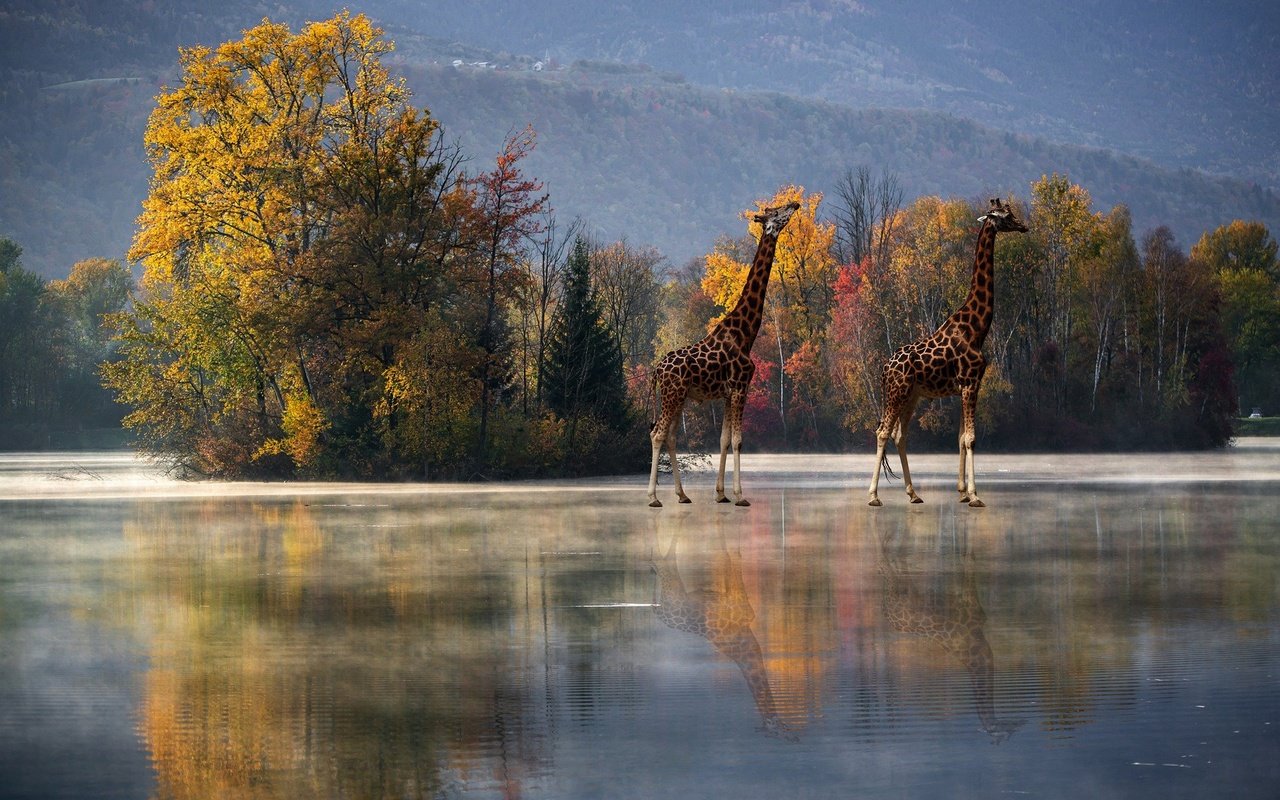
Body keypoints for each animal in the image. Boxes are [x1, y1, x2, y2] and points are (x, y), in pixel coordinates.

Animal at [650, 202, 798, 509]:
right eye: (777, 211)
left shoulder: (729, 392)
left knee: (670, 436)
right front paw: (740, 496)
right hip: (672, 395)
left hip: (678, 397)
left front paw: (721, 494)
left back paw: (682, 495)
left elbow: (724, 440)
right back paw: (653, 497)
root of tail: (657, 370)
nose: (795, 204)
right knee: (657, 433)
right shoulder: (742, 386)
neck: (745, 333)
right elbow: (739, 440)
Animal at [655, 522, 793, 737]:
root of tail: (662, 612)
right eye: (778, 730)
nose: (794, 736)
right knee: (666, 562)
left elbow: (730, 555)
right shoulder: (740, 602)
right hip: (675, 590)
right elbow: (731, 555)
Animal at [860, 195, 1029, 504]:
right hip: (897, 392)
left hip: (911, 395)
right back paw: (874, 495)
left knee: (899, 435)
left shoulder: (968, 385)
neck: (977, 328)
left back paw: (913, 493)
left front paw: (962, 491)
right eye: (1007, 216)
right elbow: (971, 438)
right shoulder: (970, 382)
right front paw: (974, 495)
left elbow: (961, 438)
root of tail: (884, 369)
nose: (1023, 226)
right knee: (882, 432)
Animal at [875, 517, 1024, 742]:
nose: (1019, 724)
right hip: (898, 593)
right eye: (1005, 733)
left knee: (896, 568)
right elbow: (969, 558)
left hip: (907, 590)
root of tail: (885, 611)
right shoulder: (973, 608)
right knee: (886, 566)